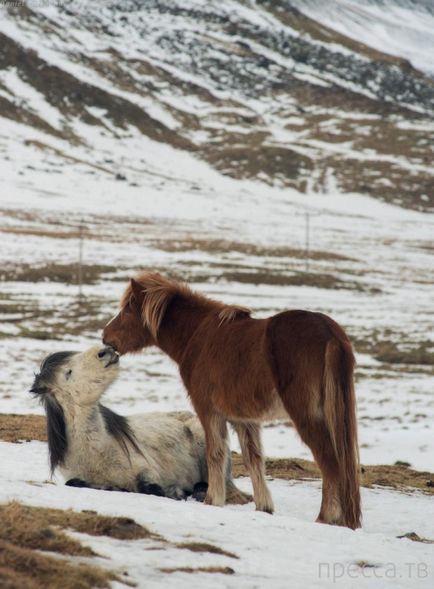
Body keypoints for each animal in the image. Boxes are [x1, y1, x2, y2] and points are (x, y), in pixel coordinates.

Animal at [30, 342, 249, 504]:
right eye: (68, 372)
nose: (105, 351)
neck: (96, 451)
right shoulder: (74, 476)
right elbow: (74, 483)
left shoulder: (147, 470)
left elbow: (149, 487)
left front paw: (174, 492)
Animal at [103, 272, 362, 528]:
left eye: (128, 309)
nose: (106, 337)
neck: (198, 335)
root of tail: (330, 334)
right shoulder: (244, 419)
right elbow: (253, 458)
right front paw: (264, 506)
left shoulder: (209, 412)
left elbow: (216, 454)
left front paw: (212, 500)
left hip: (307, 416)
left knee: (330, 463)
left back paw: (325, 517)